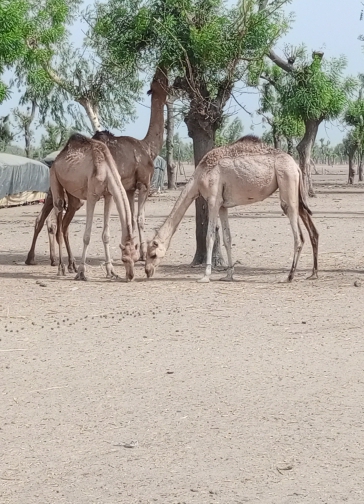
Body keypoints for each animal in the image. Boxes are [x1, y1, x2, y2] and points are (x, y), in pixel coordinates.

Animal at [49, 134, 138, 282]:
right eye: (124, 259)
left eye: (136, 259)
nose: (130, 276)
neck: (106, 169)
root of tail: (56, 159)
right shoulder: (92, 195)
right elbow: (87, 236)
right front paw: (81, 272)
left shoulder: (109, 195)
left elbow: (106, 235)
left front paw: (111, 271)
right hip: (54, 178)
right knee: (59, 217)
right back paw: (61, 268)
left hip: (73, 195)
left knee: (65, 224)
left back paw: (71, 266)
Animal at [145, 134, 318, 284]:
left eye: (152, 254)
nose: (147, 271)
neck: (199, 177)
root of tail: (296, 166)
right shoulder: (223, 205)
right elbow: (227, 238)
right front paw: (228, 275)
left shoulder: (213, 200)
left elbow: (209, 236)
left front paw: (205, 275)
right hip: (295, 190)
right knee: (308, 228)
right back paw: (310, 274)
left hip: (287, 181)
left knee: (298, 235)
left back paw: (289, 276)